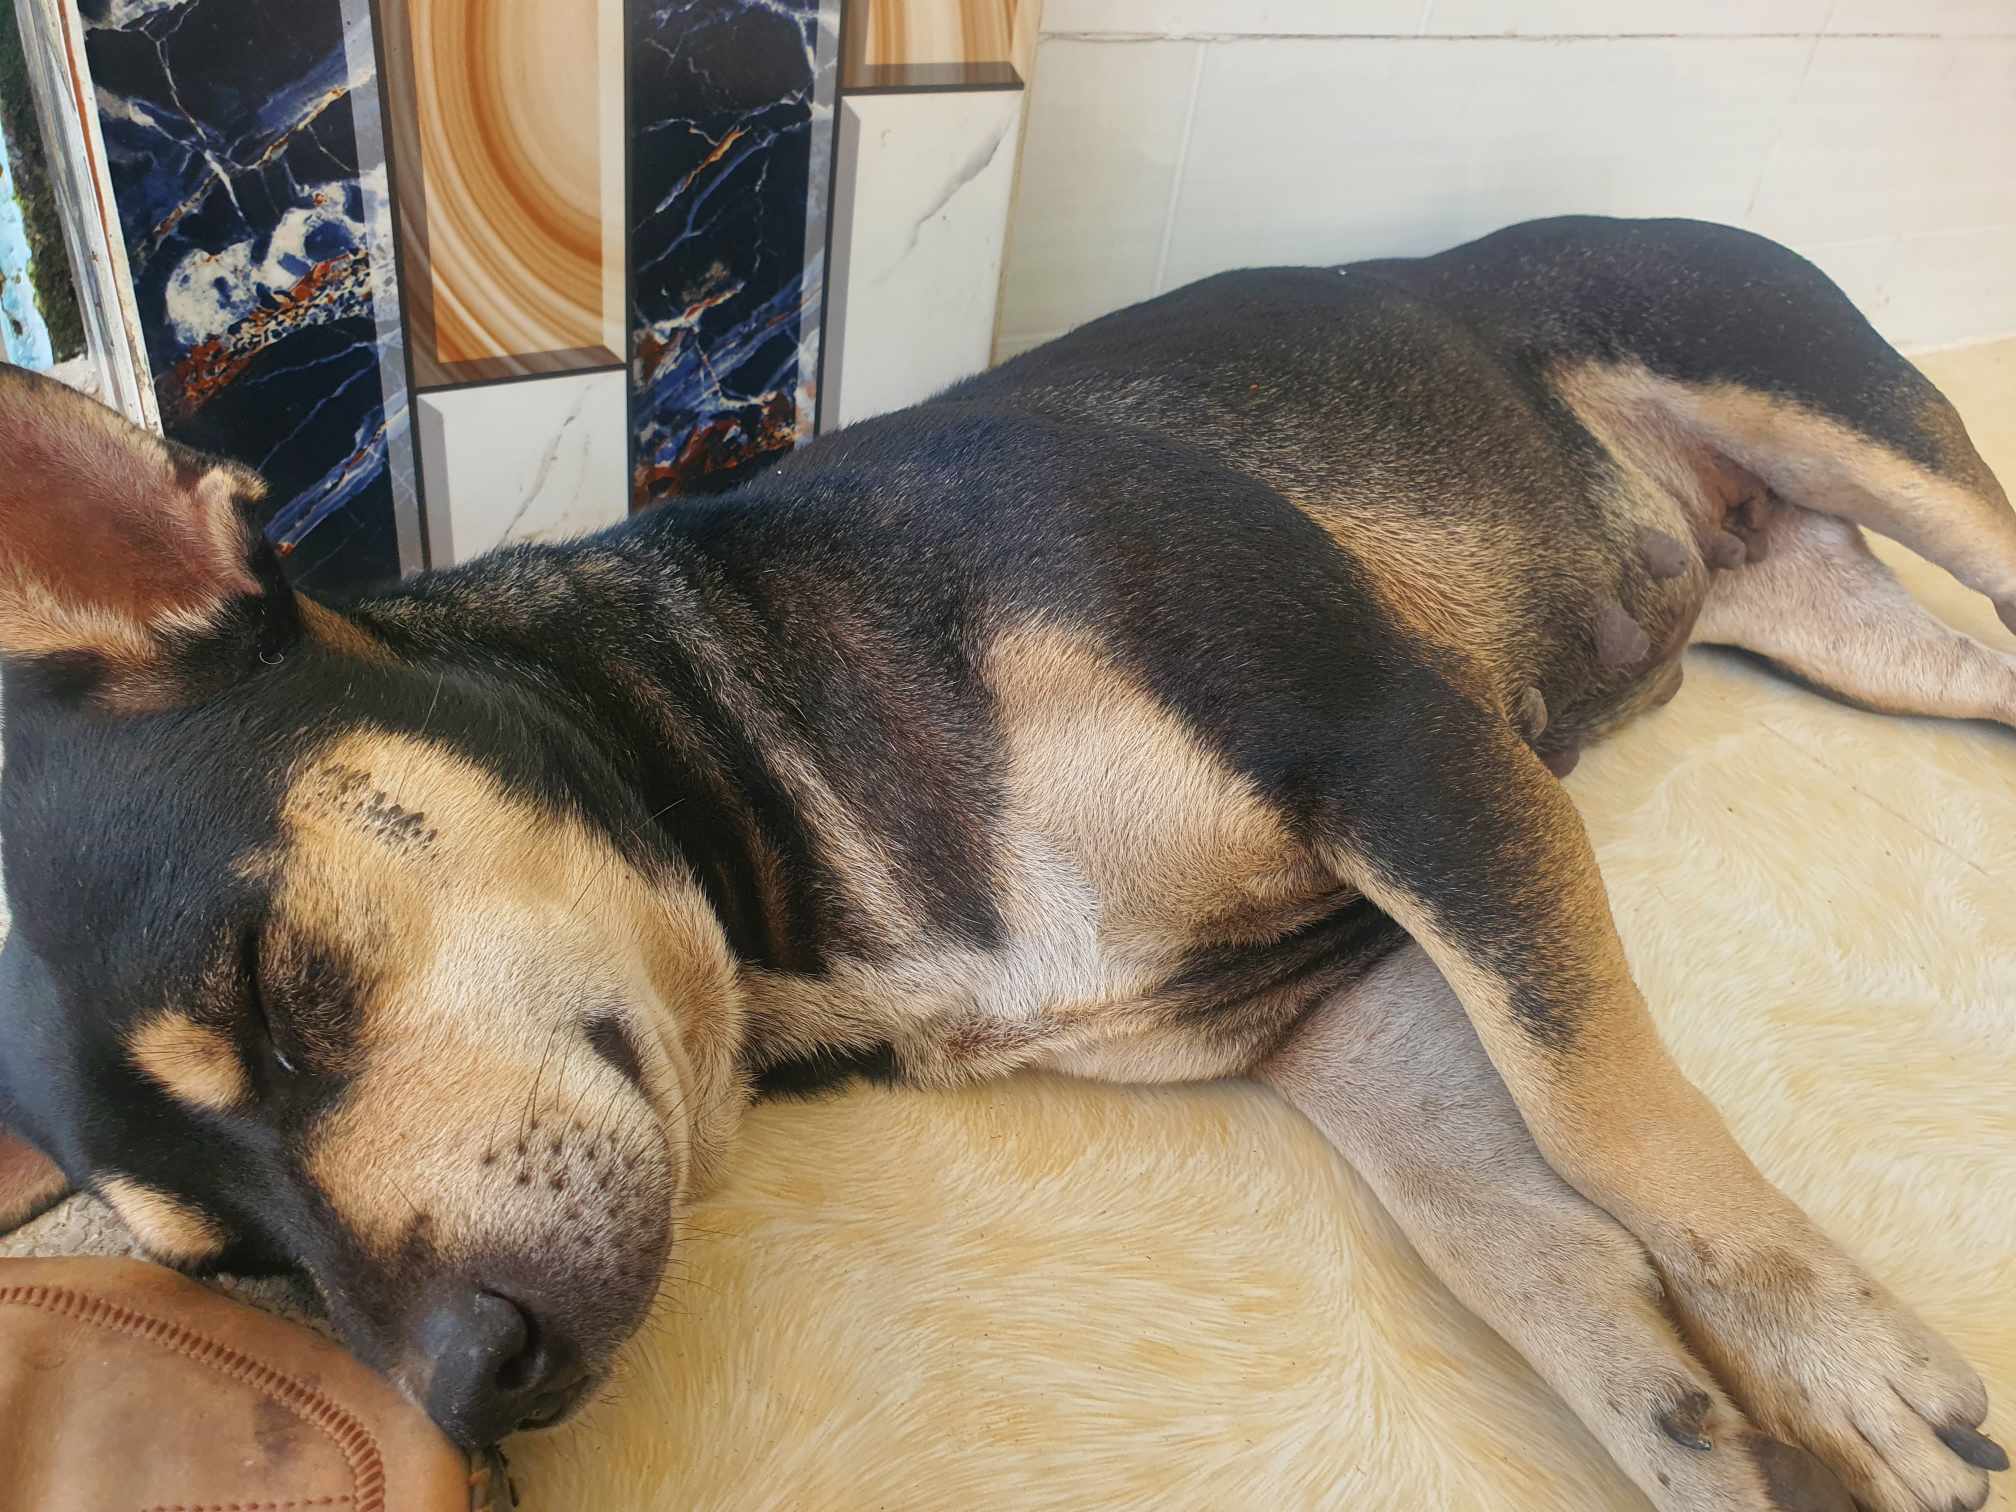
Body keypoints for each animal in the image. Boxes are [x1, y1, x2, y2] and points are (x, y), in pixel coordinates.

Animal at [1, 215, 2011, 1511]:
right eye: (228, 1271)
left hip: (1840, 418)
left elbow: (1601, 1110)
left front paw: (1831, 1352)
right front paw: (1722, 1424)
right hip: (1858, 637)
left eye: (282, 990)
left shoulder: (1402, 750)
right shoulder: (1338, 998)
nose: (459, 1388)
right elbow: (1531, 1246)